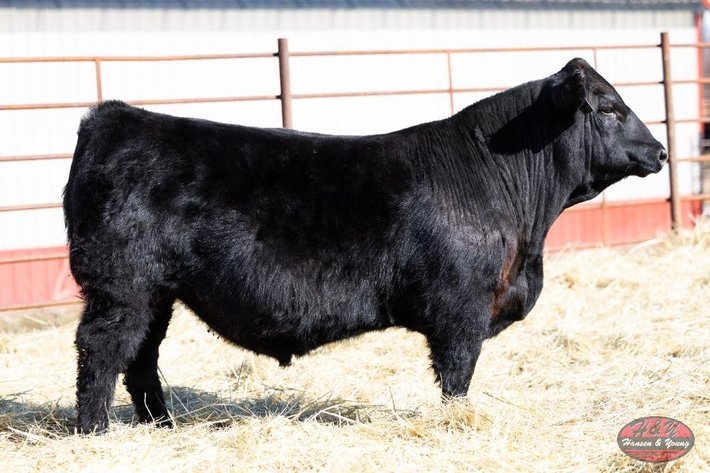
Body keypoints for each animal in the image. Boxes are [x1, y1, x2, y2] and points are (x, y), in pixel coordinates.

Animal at [64, 58, 666, 433]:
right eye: (607, 107)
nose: (660, 151)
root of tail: (115, 116)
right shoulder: (460, 308)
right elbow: (457, 375)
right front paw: (455, 423)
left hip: (156, 293)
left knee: (141, 357)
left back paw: (161, 426)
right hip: (121, 286)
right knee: (102, 349)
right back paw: (93, 430)